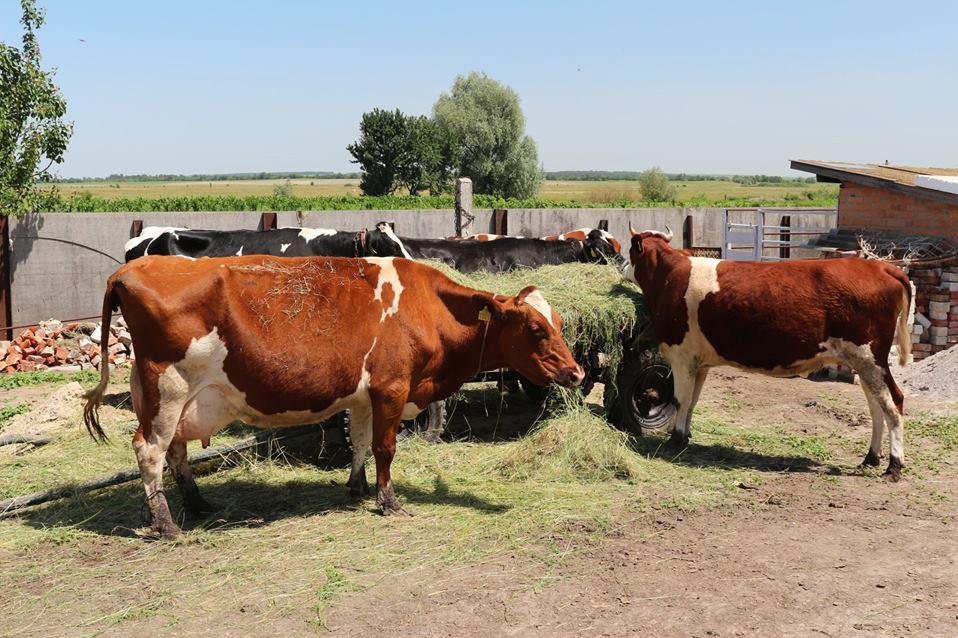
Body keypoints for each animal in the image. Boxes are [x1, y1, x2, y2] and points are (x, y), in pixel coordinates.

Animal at [84, 255, 584, 540]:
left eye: (559, 321)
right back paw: (167, 525)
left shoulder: (363, 395)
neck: (426, 308)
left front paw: (357, 487)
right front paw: (388, 501)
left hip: (174, 396)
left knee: (176, 450)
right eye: (535, 328)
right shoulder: (391, 388)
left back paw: (197, 504)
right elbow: (386, 447)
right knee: (150, 451)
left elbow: (360, 441)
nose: (577, 372)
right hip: (169, 387)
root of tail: (129, 269)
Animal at [624, 225, 916, 480]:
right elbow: (692, 401)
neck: (670, 276)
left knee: (893, 404)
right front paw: (685, 436)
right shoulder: (700, 363)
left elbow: (680, 400)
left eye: (630, 251)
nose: (623, 267)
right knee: (876, 406)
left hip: (870, 360)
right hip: (864, 363)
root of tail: (881, 266)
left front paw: (675, 440)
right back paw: (871, 457)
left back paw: (894, 466)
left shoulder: (681, 357)